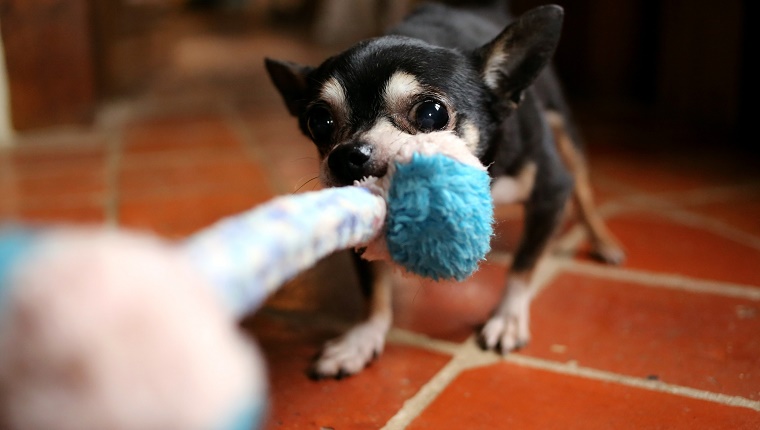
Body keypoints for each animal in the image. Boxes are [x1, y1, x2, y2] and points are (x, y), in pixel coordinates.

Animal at [266, 0, 624, 378]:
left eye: (431, 113)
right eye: (318, 122)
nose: (346, 155)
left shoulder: (551, 192)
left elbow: (523, 266)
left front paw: (508, 317)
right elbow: (373, 288)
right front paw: (362, 338)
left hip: (564, 131)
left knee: (583, 190)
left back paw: (603, 242)